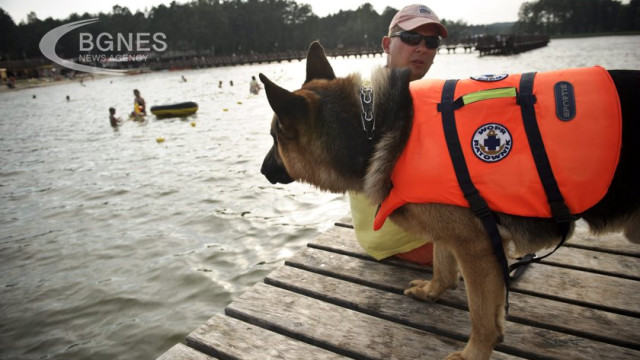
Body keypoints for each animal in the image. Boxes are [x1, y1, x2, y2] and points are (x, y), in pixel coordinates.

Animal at [258, 41, 636, 358]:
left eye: (275, 137)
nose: (261, 170)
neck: (371, 128)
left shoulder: (478, 247)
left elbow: (482, 315)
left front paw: (473, 354)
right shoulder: (454, 229)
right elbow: (443, 262)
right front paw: (432, 290)